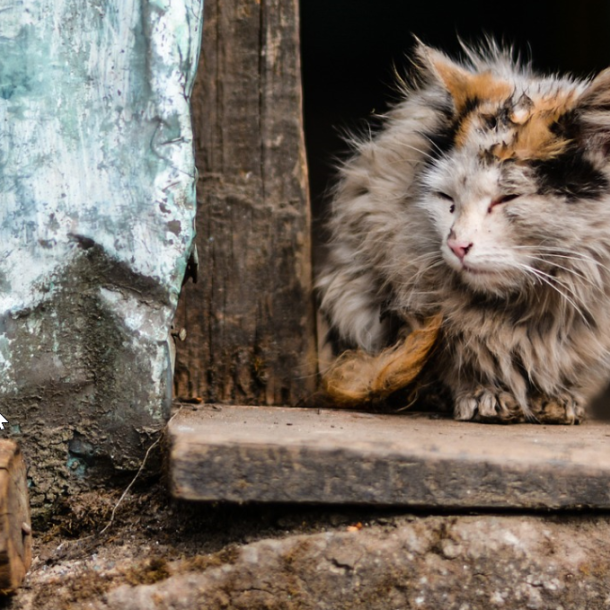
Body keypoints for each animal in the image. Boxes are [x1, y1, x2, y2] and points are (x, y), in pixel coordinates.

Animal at [314, 40, 610, 422]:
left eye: (507, 198)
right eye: (446, 199)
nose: (457, 244)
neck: (523, 312)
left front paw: (559, 399)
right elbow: (454, 359)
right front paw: (485, 395)